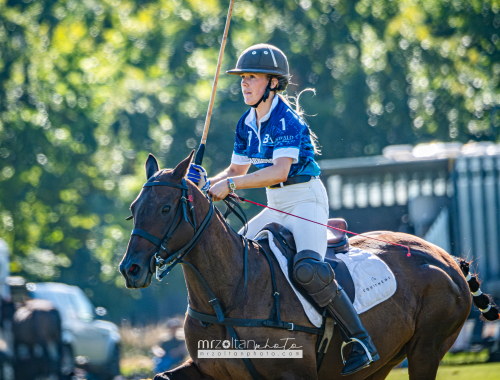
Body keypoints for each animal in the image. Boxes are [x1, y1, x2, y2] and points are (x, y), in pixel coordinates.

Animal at [119, 152, 498, 380]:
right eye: (134, 207)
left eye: (166, 208)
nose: (130, 269)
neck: (227, 296)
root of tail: (445, 258)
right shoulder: (210, 370)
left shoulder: (294, 373)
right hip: (385, 361)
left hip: (426, 350)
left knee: (310, 271)